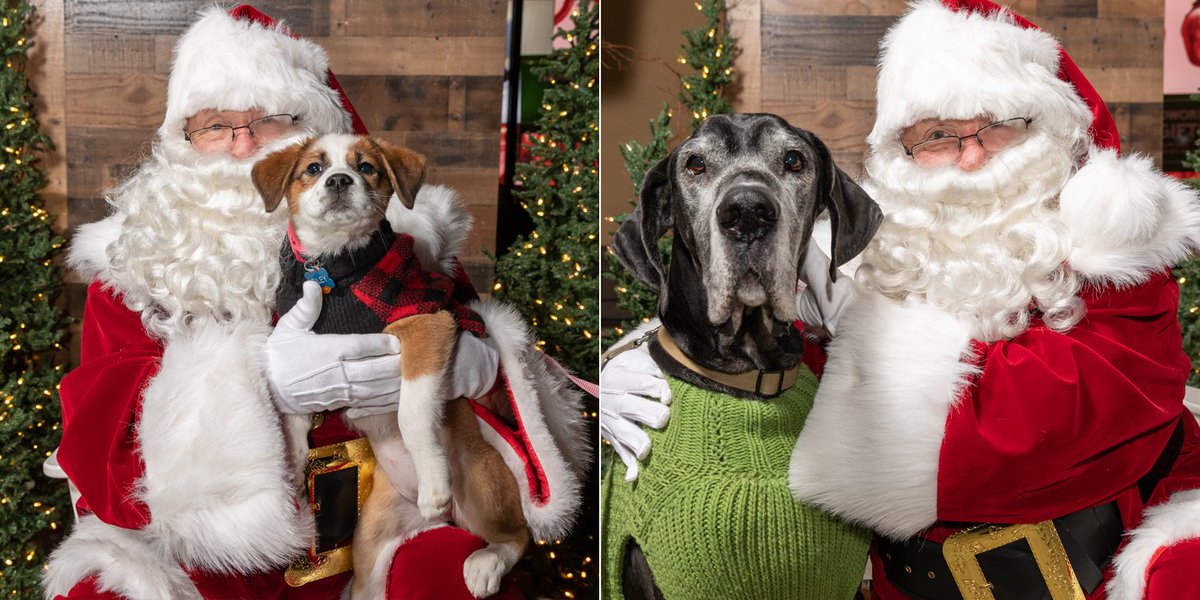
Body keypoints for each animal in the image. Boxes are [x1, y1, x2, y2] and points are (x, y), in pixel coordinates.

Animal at [250, 133, 528, 597]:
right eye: (313, 168)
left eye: (366, 167)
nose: (339, 180)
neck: (333, 270)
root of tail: (443, 519)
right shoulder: (293, 347)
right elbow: (292, 415)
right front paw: (292, 471)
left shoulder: (427, 322)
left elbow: (412, 411)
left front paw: (433, 479)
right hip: (373, 541)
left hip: (483, 479)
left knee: (517, 535)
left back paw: (486, 561)